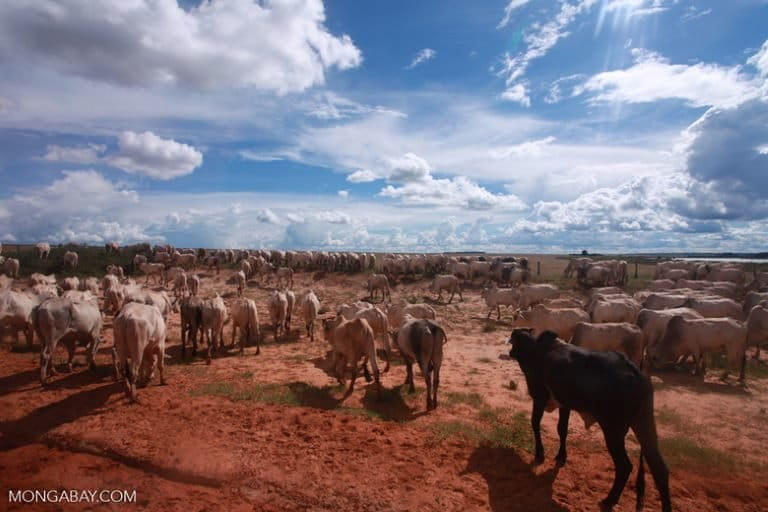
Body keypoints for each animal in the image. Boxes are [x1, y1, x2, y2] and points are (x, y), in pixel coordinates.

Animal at [510, 328, 672, 512]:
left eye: (513, 341)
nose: (510, 352)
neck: (535, 350)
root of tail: (636, 373)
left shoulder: (539, 397)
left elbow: (535, 423)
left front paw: (539, 455)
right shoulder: (565, 404)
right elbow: (562, 429)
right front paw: (561, 456)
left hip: (613, 430)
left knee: (625, 466)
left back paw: (609, 500)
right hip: (644, 424)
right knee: (659, 469)